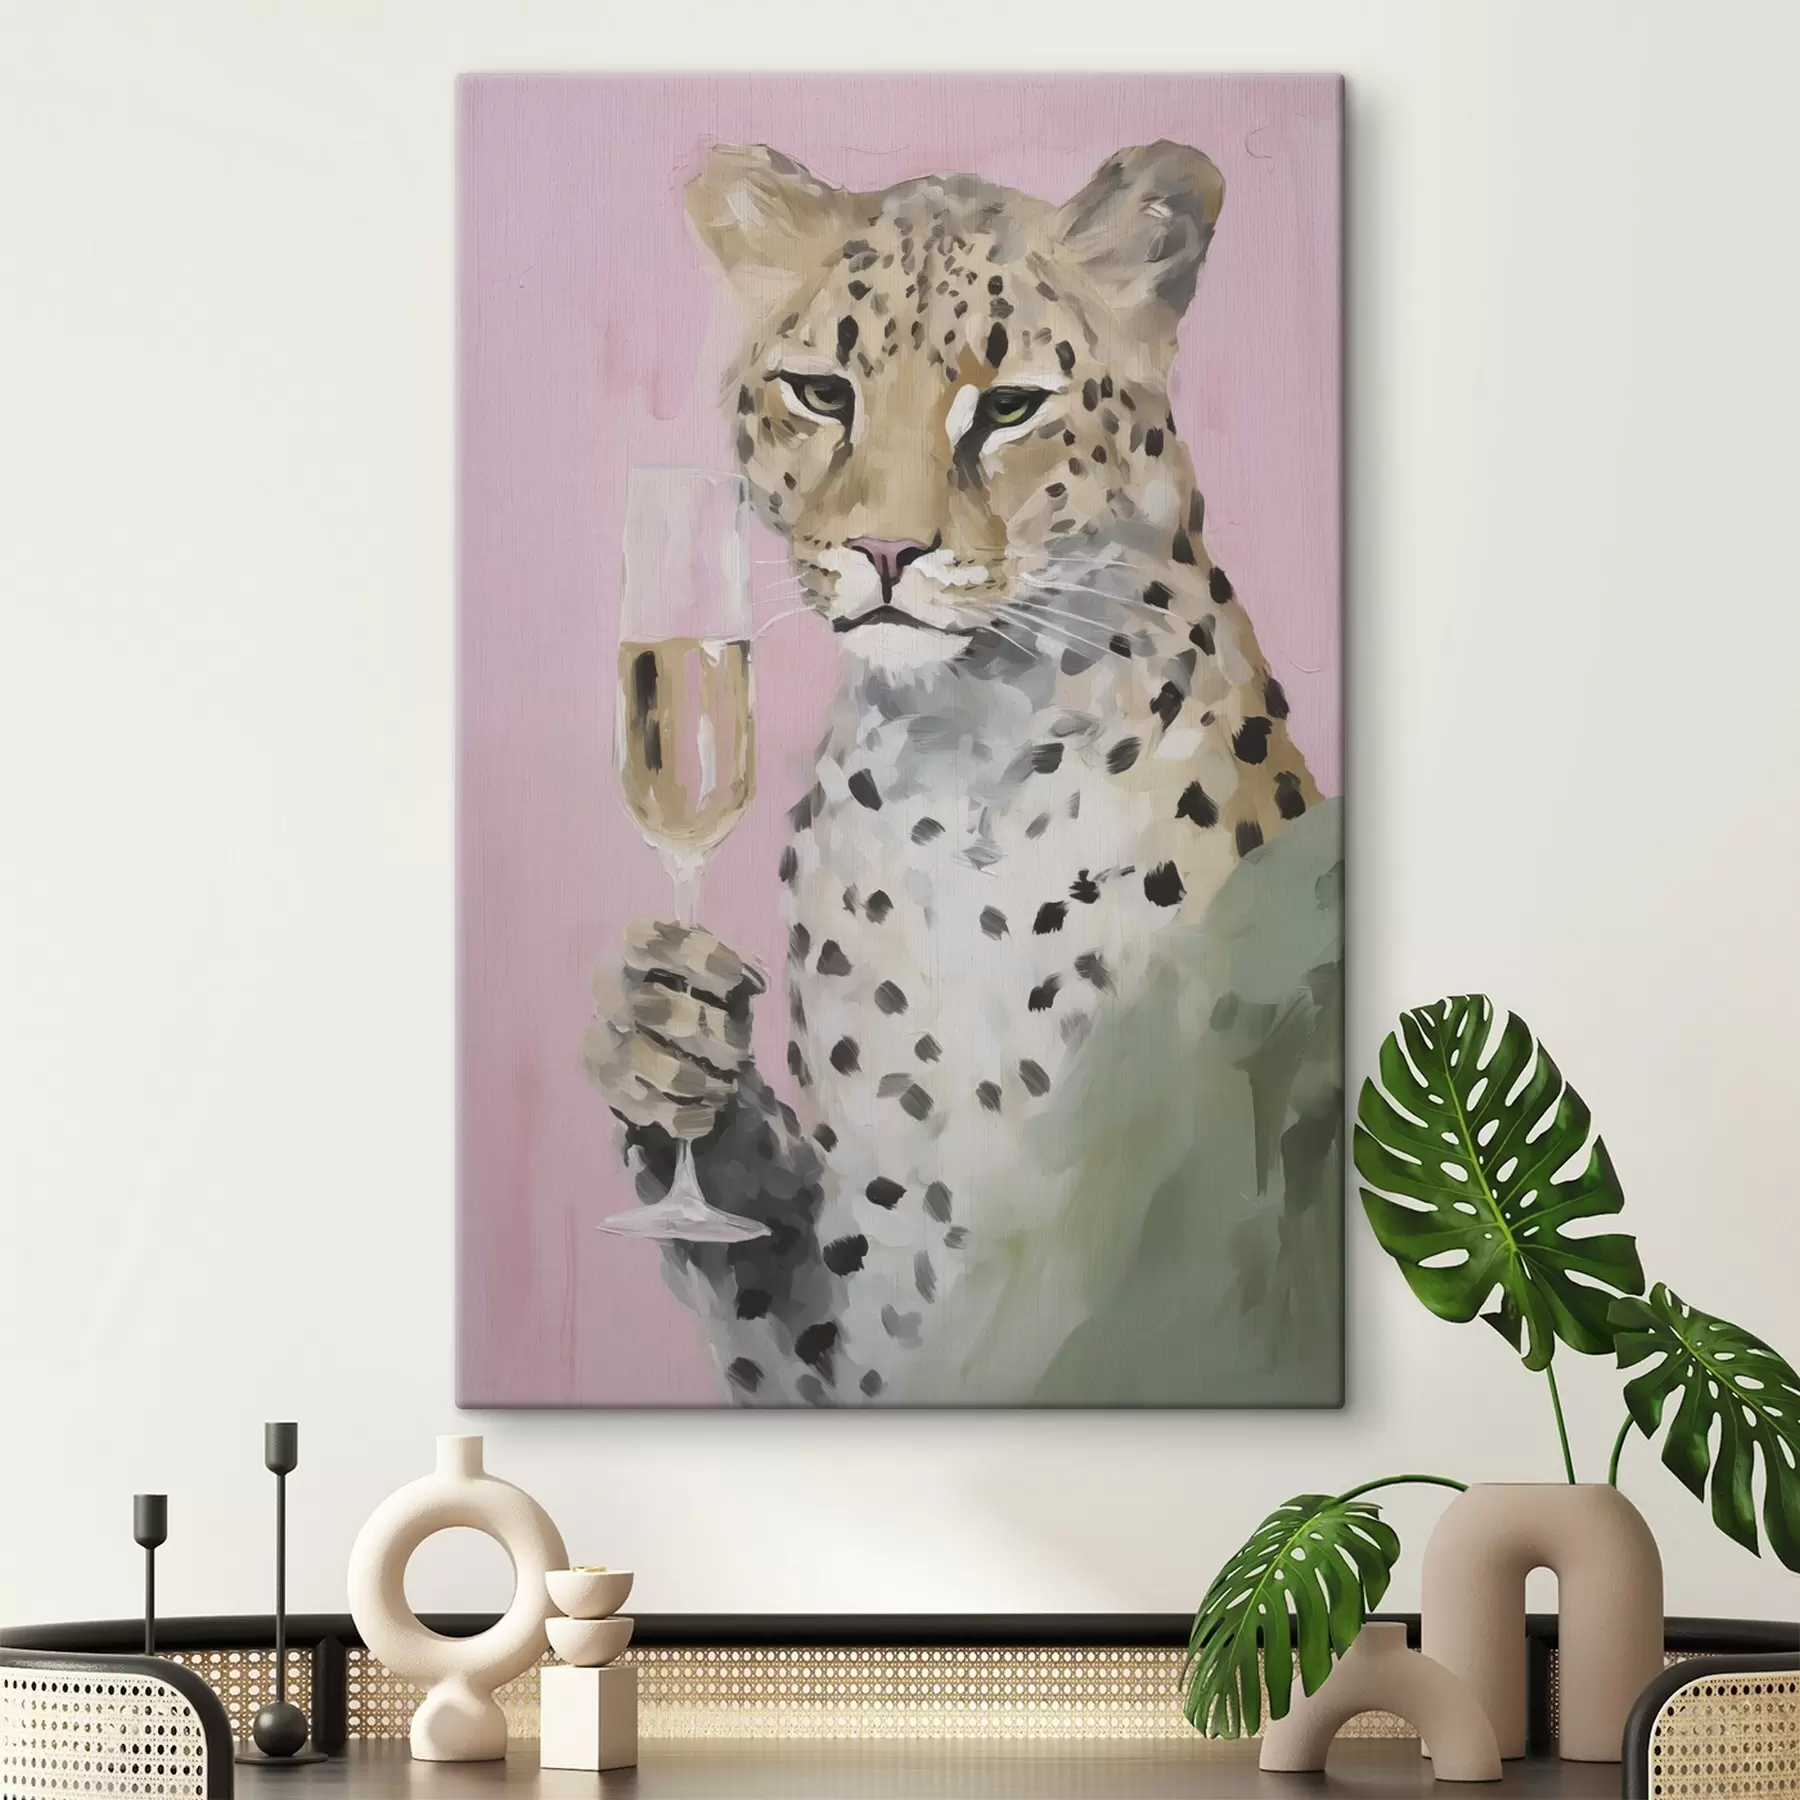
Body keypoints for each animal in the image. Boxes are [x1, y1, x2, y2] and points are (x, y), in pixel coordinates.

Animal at [584, 140, 1343, 1406]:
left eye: (1009, 406)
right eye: (822, 393)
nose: (886, 551)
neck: (960, 764)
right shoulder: (869, 1302)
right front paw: (660, 1044)